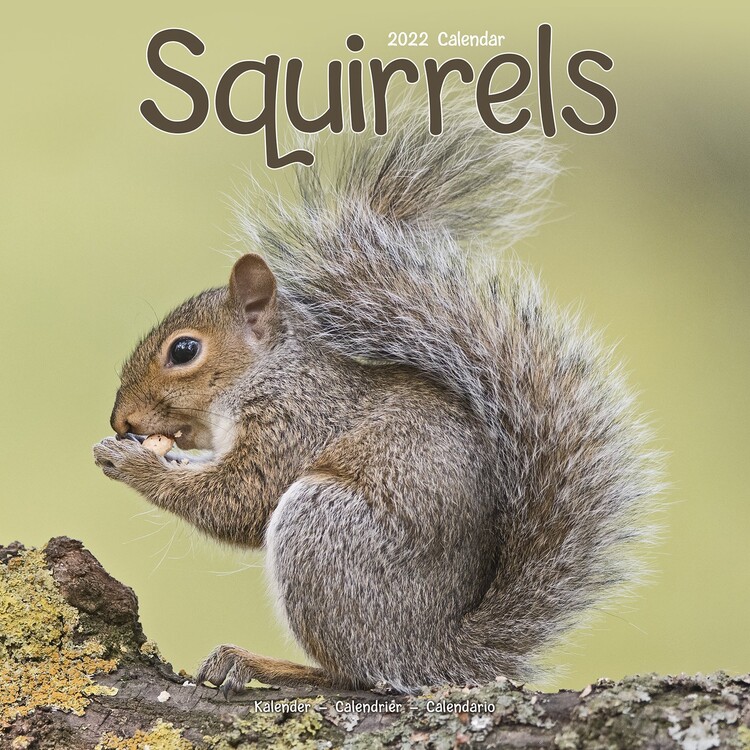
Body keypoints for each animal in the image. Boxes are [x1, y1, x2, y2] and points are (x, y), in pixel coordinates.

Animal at [93, 108, 660, 694]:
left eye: (184, 350)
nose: (121, 420)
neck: (267, 373)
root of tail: (431, 653)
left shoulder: (299, 419)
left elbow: (242, 499)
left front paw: (133, 464)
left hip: (325, 532)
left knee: (353, 672)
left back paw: (261, 663)